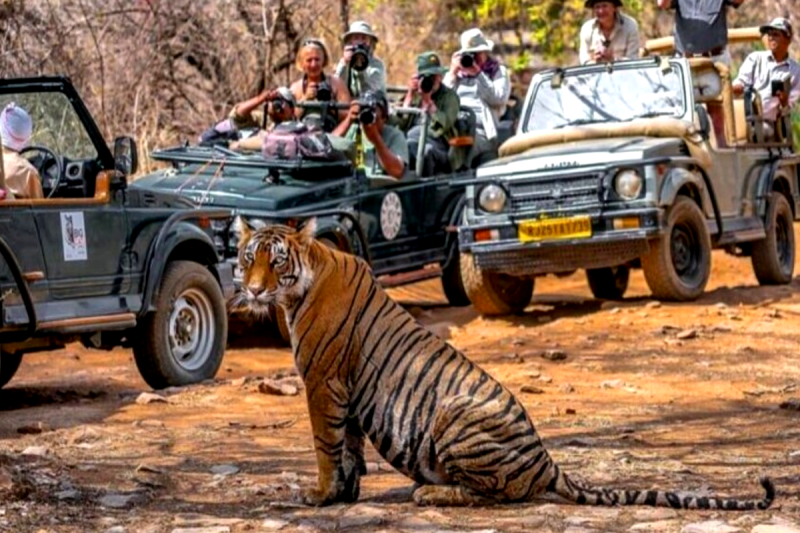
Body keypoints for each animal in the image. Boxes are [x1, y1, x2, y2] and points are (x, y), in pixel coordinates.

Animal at [230, 215, 775, 509]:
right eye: (248, 258)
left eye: (276, 261)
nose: (252, 290)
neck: (299, 286)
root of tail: (547, 462)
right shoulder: (344, 387)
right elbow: (349, 447)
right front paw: (343, 494)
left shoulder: (323, 382)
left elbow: (327, 445)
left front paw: (320, 495)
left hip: (453, 413)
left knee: (493, 492)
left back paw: (429, 494)